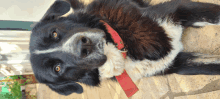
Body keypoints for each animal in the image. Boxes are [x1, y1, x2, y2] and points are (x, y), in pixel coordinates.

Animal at [28, 0, 220, 96]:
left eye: (54, 33)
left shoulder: (178, 9)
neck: (121, 48)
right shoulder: (176, 64)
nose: (84, 45)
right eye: (57, 68)